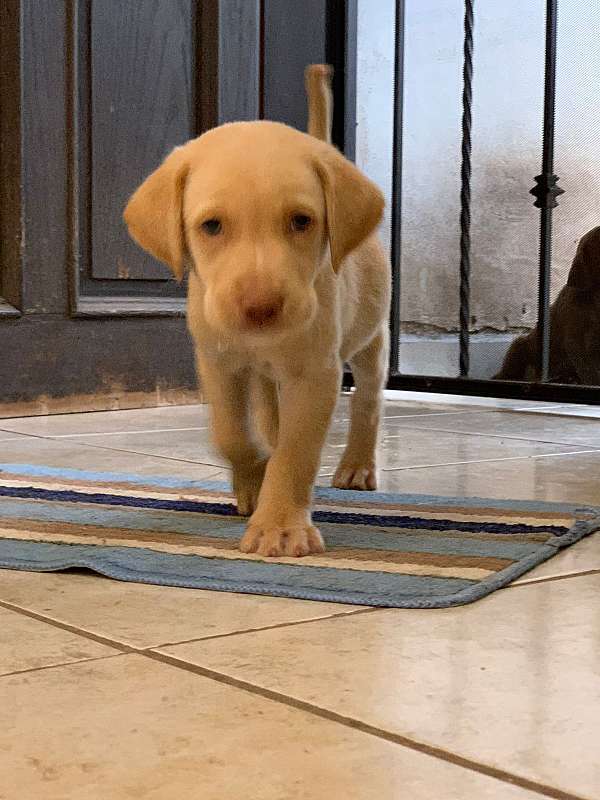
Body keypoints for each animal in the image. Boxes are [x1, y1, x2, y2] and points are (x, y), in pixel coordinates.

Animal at [124, 65, 392, 556]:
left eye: (302, 221)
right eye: (211, 225)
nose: (260, 307)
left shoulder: (315, 372)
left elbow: (296, 451)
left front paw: (280, 526)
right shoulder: (217, 361)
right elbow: (231, 433)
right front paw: (253, 480)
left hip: (370, 336)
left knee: (367, 400)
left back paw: (357, 466)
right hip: (267, 377)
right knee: (269, 415)